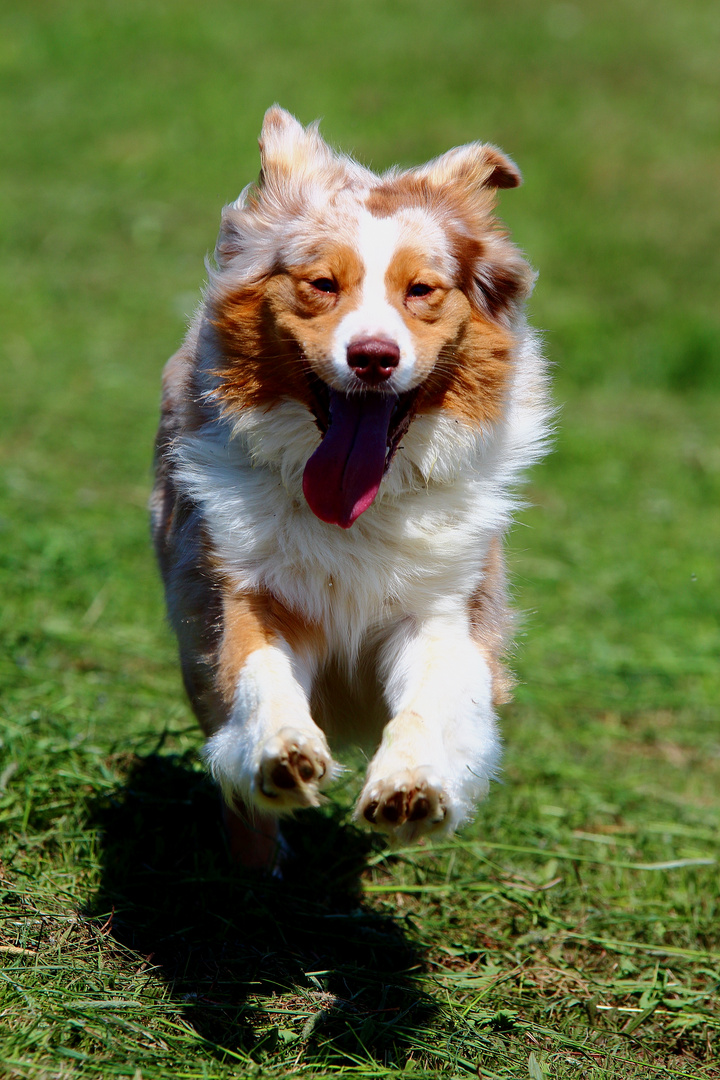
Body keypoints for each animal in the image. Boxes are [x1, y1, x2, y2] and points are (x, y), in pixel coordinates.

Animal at [148, 107, 548, 868]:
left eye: (421, 290)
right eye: (323, 284)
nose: (372, 357)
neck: (360, 510)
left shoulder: (447, 608)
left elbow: (435, 700)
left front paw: (413, 786)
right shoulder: (241, 587)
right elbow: (258, 675)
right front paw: (281, 754)